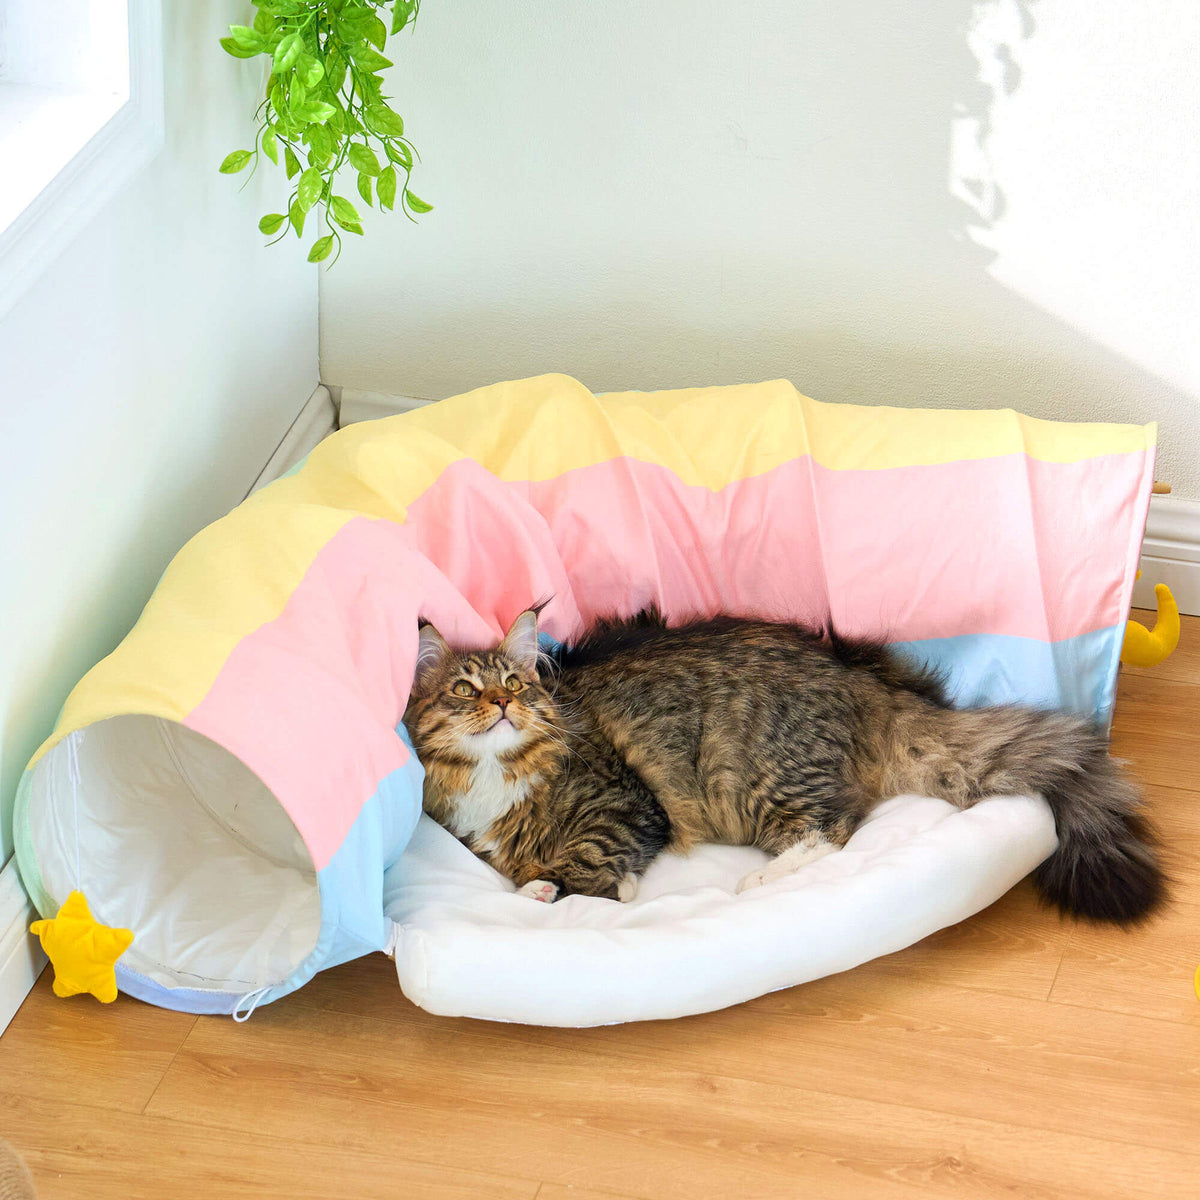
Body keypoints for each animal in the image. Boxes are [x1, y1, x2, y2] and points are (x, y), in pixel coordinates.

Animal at [403, 609, 1161, 916]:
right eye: (464, 690)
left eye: (516, 683)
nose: (504, 703)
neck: (494, 779)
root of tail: (867, 684)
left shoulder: (629, 802)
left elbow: (588, 860)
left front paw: (563, 890)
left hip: (760, 776)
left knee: (832, 831)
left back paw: (760, 881)